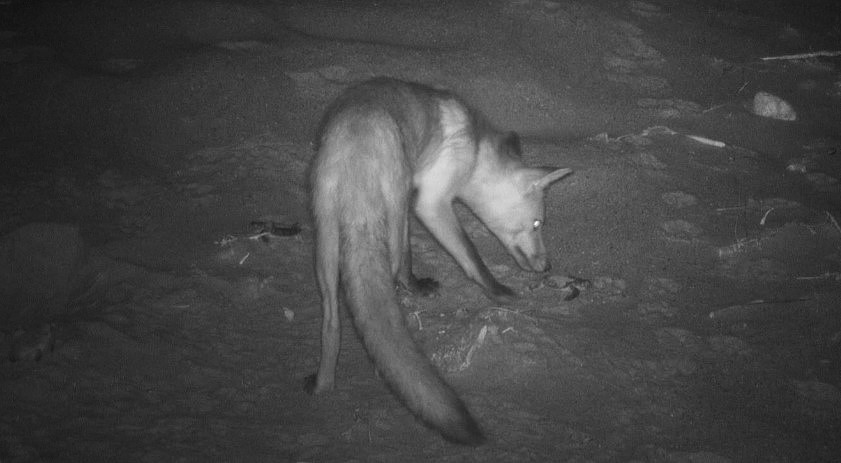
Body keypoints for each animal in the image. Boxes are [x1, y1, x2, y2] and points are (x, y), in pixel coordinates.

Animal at [304, 78, 572, 448]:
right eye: (537, 224)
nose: (546, 267)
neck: (475, 149)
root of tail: (354, 140)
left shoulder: (413, 199)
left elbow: (409, 258)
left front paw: (415, 285)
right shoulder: (430, 202)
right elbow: (471, 258)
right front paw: (498, 292)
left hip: (327, 238)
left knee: (332, 322)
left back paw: (325, 384)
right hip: (391, 207)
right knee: (387, 280)